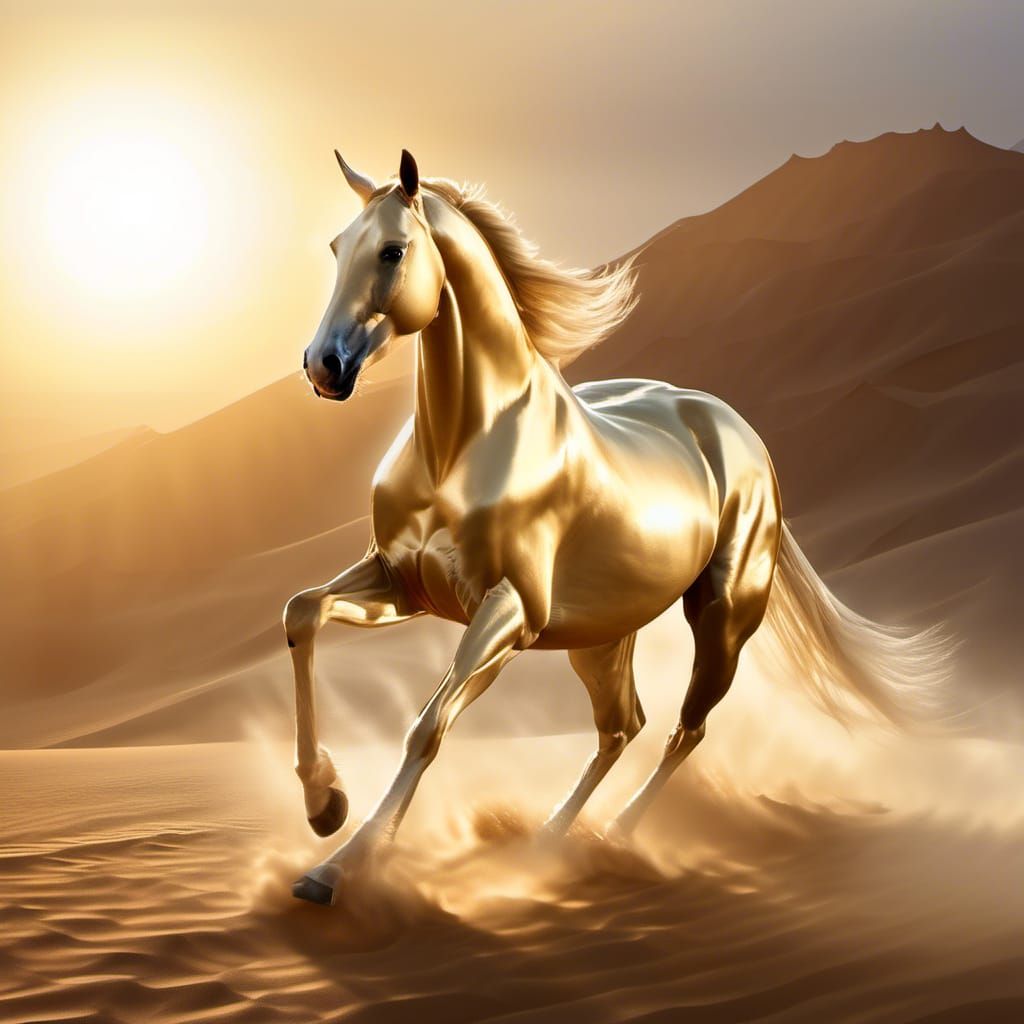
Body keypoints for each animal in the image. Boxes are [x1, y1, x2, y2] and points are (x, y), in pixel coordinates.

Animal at [284, 149, 949, 905]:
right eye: (337, 247)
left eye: (393, 251)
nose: (322, 366)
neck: (459, 444)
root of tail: (736, 428)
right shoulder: (403, 584)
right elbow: (301, 612)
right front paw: (324, 804)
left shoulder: (509, 613)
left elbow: (426, 727)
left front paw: (337, 868)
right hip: (602, 635)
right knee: (621, 726)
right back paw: (546, 842)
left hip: (721, 621)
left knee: (685, 730)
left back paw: (609, 837)